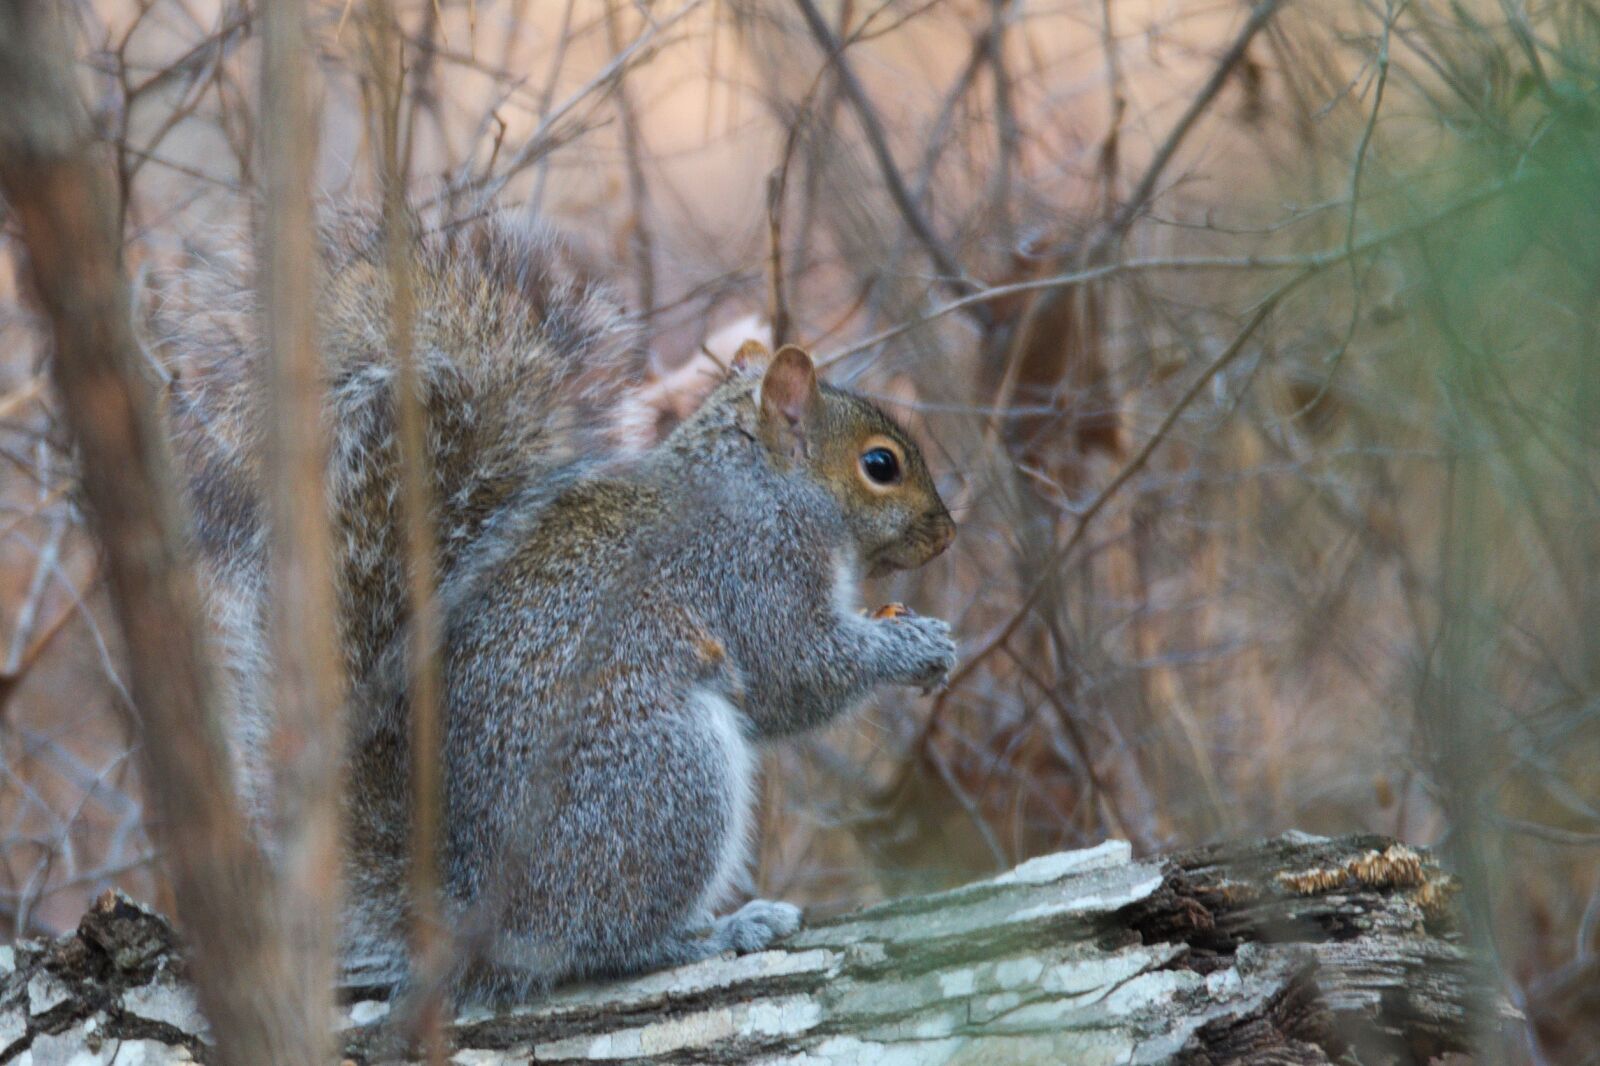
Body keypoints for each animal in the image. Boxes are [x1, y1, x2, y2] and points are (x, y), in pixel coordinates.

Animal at [153, 207, 958, 1002]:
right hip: (666, 778)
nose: (948, 532)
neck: (765, 483)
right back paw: (718, 931)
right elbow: (798, 670)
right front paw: (915, 647)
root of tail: (476, 919)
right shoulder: (753, 569)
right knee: (607, 943)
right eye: (880, 464)